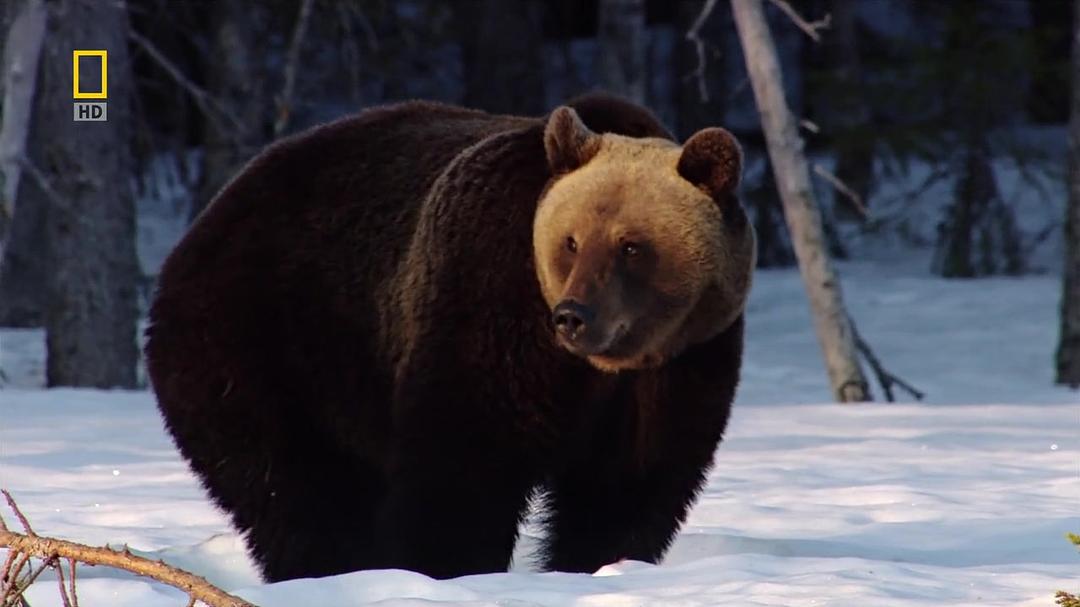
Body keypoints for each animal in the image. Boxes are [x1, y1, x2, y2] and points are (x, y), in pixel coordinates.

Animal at [143, 94, 756, 583]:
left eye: (630, 246)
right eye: (572, 242)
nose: (573, 317)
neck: (596, 369)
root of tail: (205, 221)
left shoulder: (682, 362)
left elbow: (632, 483)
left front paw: (597, 566)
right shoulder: (488, 302)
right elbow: (464, 459)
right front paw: (449, 568)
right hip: (261, 341)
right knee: (292, 487)